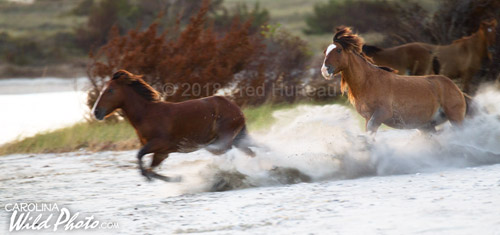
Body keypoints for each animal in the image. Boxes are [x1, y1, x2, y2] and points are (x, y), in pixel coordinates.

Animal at [92, 70, 254, 182]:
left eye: (110, 90)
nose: (96, 112)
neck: (147, 114)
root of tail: (238, 111)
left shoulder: (160, 143)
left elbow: (140, 156)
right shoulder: (162, 152)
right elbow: (150, 167)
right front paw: (177, 179)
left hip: (221, 144)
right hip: (236, 139)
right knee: (252, 152)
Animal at [322, 26, 466, 134]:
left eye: (339, 50)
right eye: (325, 52)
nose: (324, 70)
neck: (368, 82)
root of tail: (454, 87)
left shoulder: (381, 115)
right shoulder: (368, 118)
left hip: (455, 119)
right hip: (427, 127)